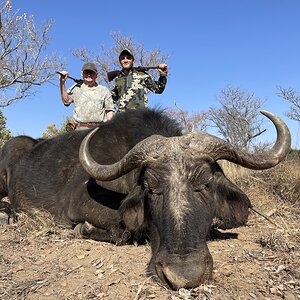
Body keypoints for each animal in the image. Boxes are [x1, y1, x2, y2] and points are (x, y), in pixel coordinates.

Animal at [0, 108, 290, 290]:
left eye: (204, 184)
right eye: (152, 189)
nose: (184, 276)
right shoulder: (79, 206)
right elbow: (124, 230)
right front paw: (85, 228)